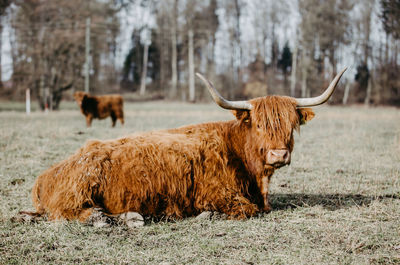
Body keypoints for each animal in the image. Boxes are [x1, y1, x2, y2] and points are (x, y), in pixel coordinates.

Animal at [28, 68, 346, 221]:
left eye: (291, 125)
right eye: (259, 125)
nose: (279, 154)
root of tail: (47, 174)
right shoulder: (219, 193)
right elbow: (246, 210)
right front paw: (207, 214)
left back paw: (130, 218)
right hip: (78, 189)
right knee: (69, 213)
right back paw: (102, 218)